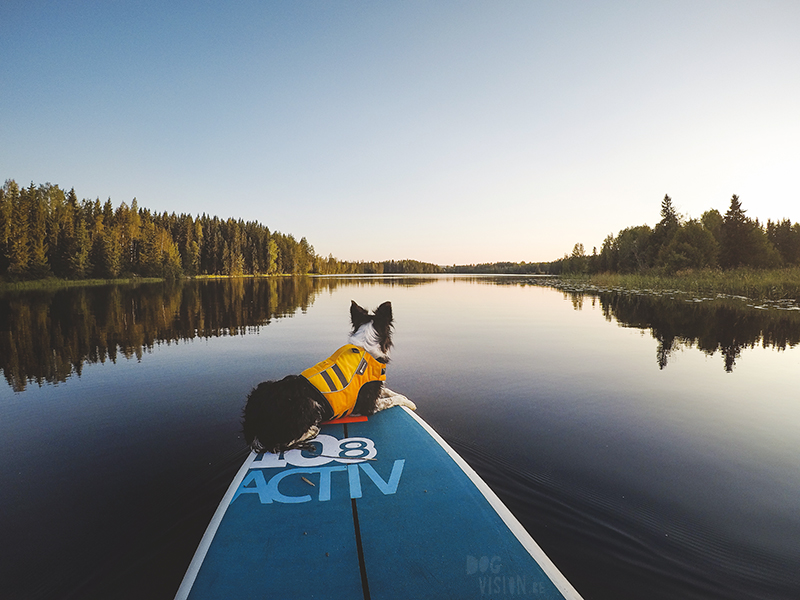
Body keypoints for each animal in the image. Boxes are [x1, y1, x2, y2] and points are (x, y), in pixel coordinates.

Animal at [242, 302, 418, 452]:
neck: (364, 348)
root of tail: (252, 423)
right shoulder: (368, 405)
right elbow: (392, 399)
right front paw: (408, 403)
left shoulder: (375, 388)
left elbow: (389, 391)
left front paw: (407, 399)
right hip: (307, 403)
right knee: (279, 444)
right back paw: (312, 430)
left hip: (264, 385)